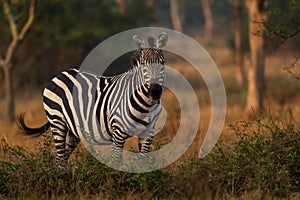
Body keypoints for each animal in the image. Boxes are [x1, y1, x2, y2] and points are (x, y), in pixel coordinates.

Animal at [18, 32, 168, 166]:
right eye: (143, 64)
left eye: (163, 63)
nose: (155, 91)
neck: (146, 105)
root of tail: (60, 74)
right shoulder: (118, 132)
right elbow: (117, 162)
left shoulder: (148, 133)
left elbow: (144, 163)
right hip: (57, 121)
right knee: (60, 159)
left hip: (73, 130)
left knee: (64, 158)